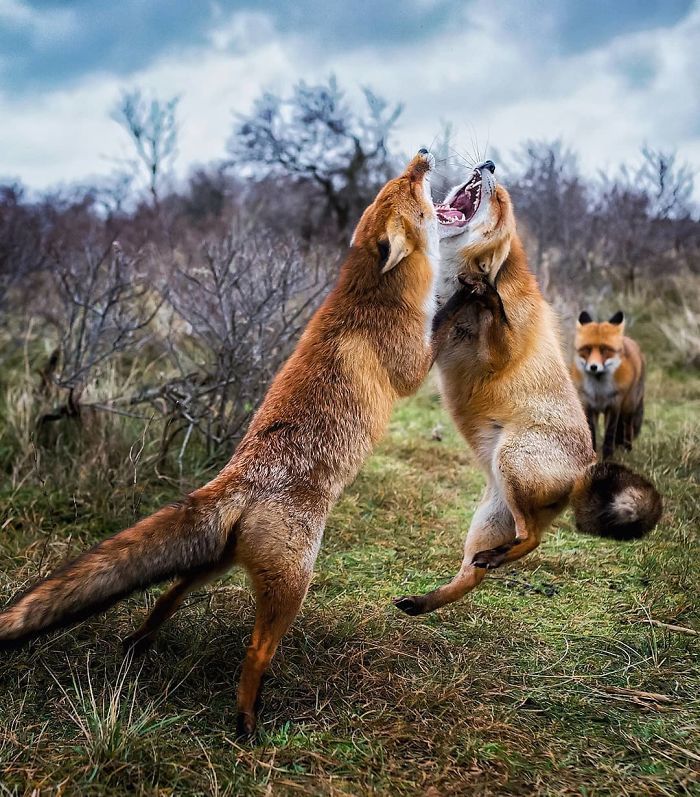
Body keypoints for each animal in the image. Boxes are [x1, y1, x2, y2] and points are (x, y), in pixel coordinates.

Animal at [0, 149, 442, 732]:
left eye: (396, 182)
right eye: (410, 190)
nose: (423, 154)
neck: (369, 293)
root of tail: (237, 479)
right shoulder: (410, 366)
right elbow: (445, 329)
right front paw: (476, 296)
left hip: (215, 565)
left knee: (167, 595)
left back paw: (140, 641)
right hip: (291, 584)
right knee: (255, 652)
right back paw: (247, 720)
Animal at [572, 310, 648, 460]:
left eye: (604, 350)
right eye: (587, 349)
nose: (593, 367)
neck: (599, 392)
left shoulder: (614, 404)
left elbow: (609, 435)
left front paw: (608, 458)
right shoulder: (588, 404)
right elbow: (592, 433)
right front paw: (594, 457)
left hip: (628, 406)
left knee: (627, 427)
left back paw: (627, 449)